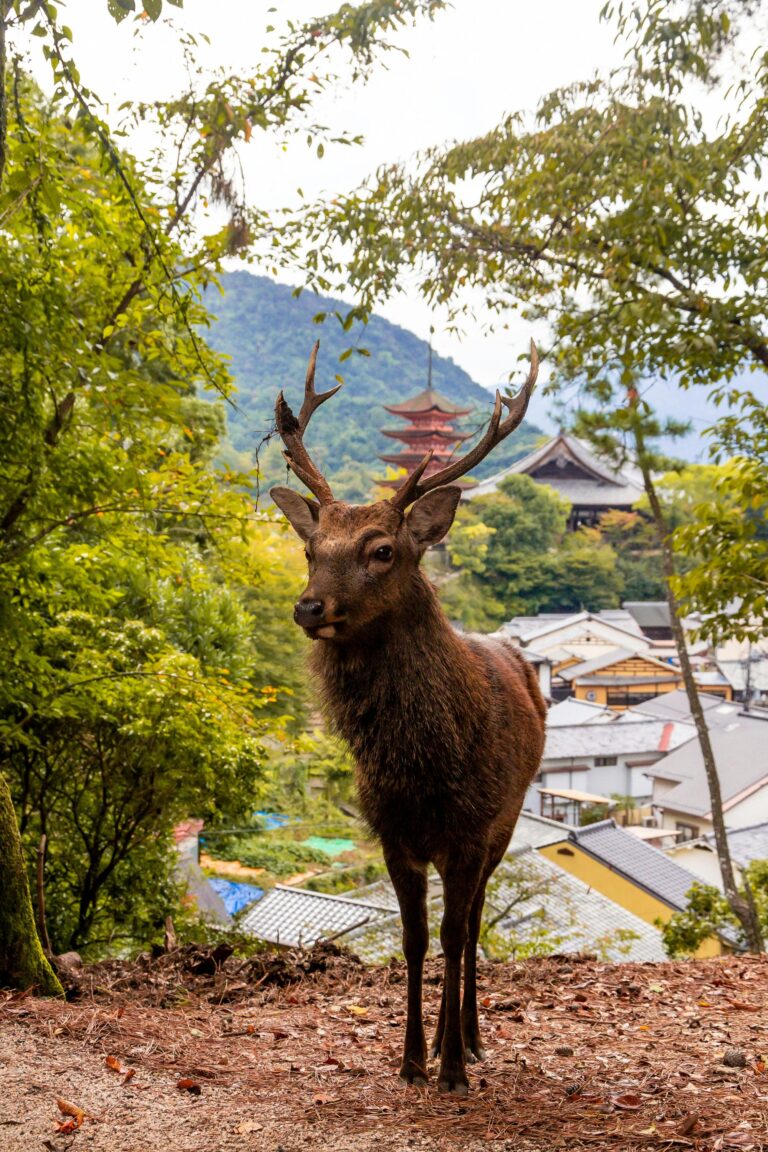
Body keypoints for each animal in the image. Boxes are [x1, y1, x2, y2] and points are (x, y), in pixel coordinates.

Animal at [270, 342, 546, 1096]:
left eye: (382, 549)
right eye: (311, 549)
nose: (308, 606)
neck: (420, 766)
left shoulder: (470, 830)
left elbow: (452, 936)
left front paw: (449, 1065)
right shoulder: (391, 833)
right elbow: (414, 940)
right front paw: (410, 1059)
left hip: (509, 820)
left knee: (474, 922)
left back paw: (473, 1041)